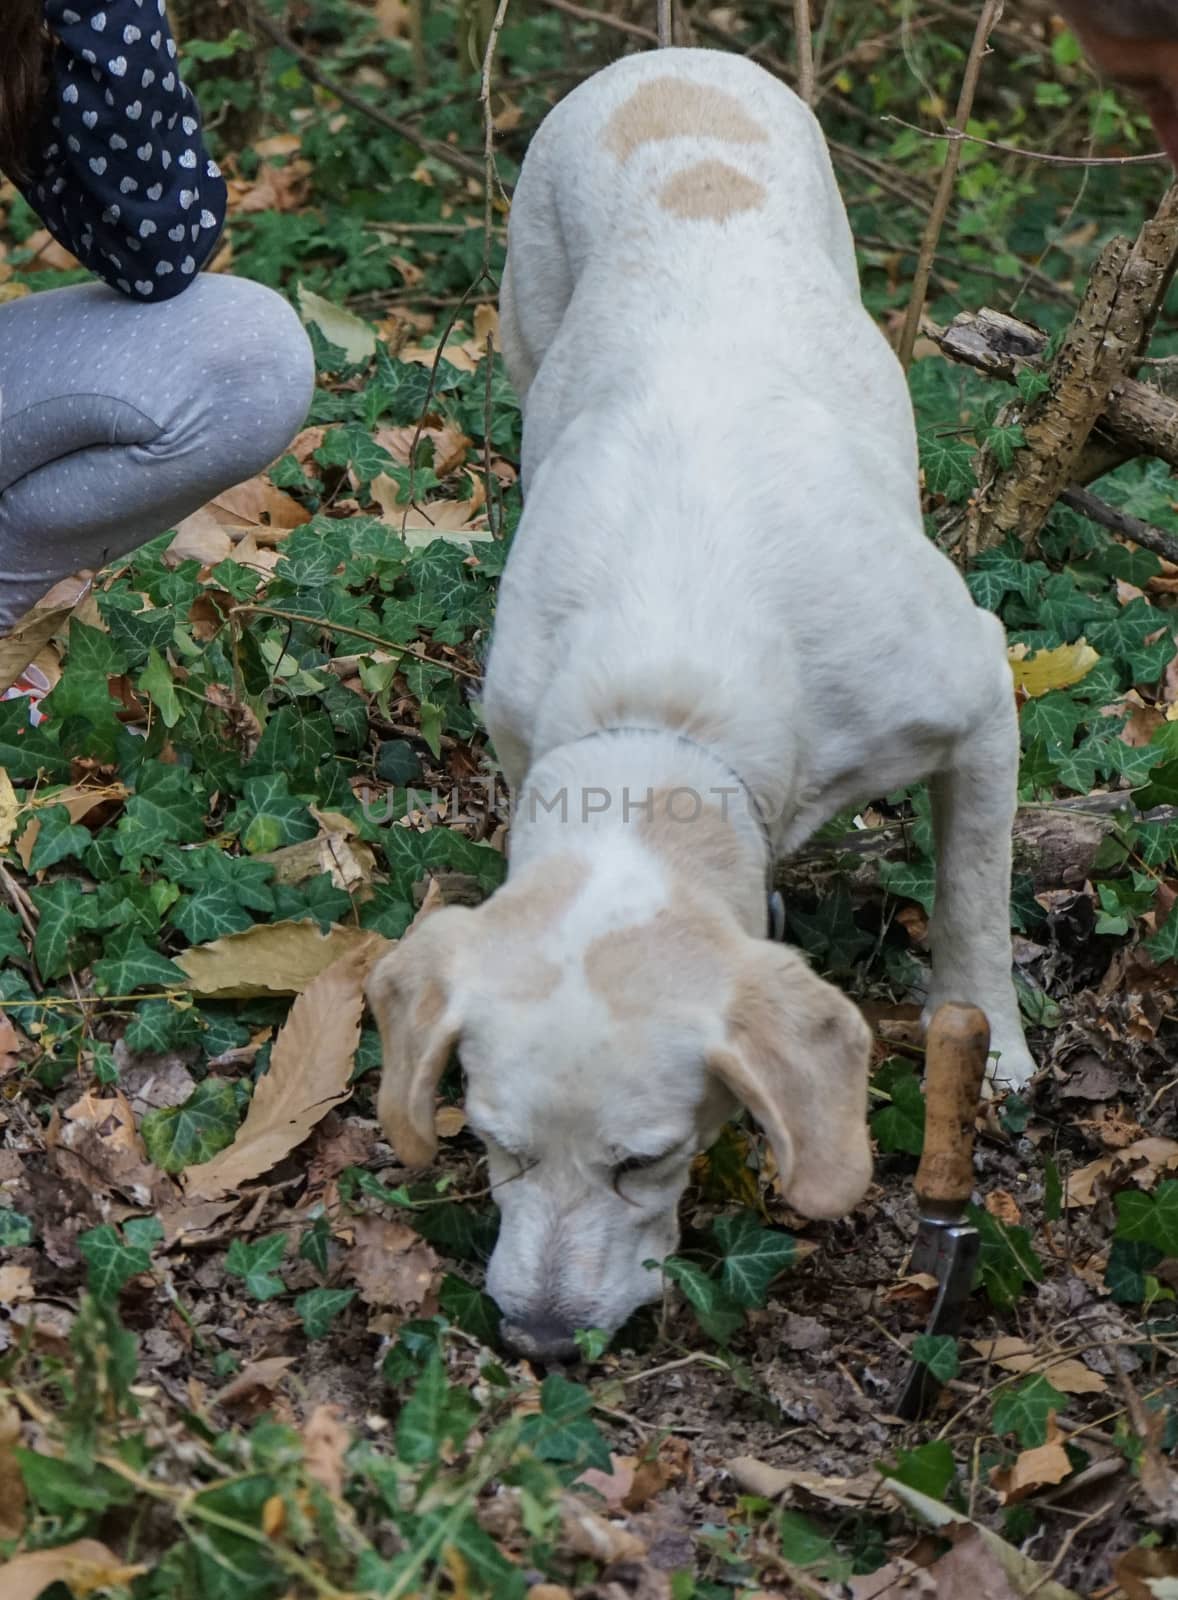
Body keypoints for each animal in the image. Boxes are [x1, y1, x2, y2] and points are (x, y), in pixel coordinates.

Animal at [366, 43, 1030, 1356]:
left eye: (647, 1159)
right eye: (494, 1148)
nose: (541, 1337)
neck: (663, 713)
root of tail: (665, 58)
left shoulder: (977, 693)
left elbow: (971, 902)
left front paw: (989, 1039)